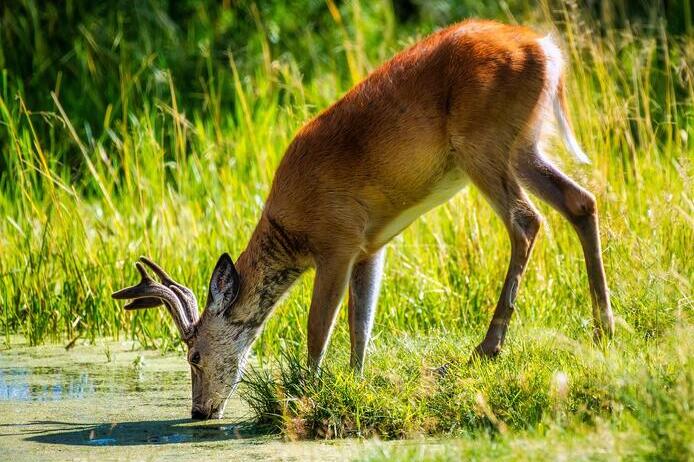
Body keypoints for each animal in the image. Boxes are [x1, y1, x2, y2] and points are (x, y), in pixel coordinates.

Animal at [113, 20, 616, 418]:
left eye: (194, 355)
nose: (199, 411)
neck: (290, 230)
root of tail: (545, 49)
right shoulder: (371, 245)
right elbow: (362, 323)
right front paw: (354, 383)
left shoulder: (337, 240)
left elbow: (319, 326)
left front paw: (308, 390)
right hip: (523, 145)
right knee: (580, 201)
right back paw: (603, 327)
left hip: (483, 143)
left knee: (526, 222)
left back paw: (488, 348)